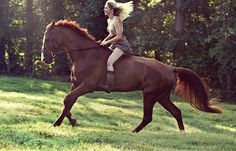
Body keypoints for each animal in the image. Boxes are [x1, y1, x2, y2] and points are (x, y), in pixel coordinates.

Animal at [41, 19, 223, 133]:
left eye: (48, 38)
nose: (44, 59)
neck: (85, 54)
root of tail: (170, 68)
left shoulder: (87, 86)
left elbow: (67, 99)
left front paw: (64, 122)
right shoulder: (76, 84)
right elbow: (68, 102)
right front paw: (65, 122)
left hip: (150, 95)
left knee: (148, 117)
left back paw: (133, 132)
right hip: (162, 96)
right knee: (176, 112)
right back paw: (181, 134)